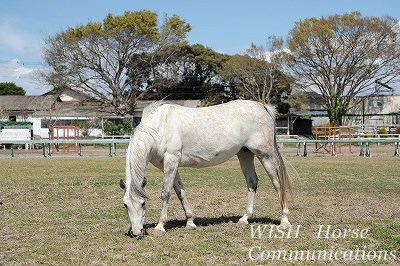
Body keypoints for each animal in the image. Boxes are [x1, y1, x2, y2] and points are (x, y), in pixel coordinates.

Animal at [120, 100, 292, 237]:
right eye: (125, 205)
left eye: (143, 203)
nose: (136, 232)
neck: (159, 127)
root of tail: (262, 106)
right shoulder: (169, 165)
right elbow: (180, 192)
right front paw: (190, 221)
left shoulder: (171, 160)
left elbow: (166, 193)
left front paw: (160, 227)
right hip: (245, 154)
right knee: (252, 182)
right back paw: (244, 219)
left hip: (265, 155)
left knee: (277, 184)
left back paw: (284, 221)